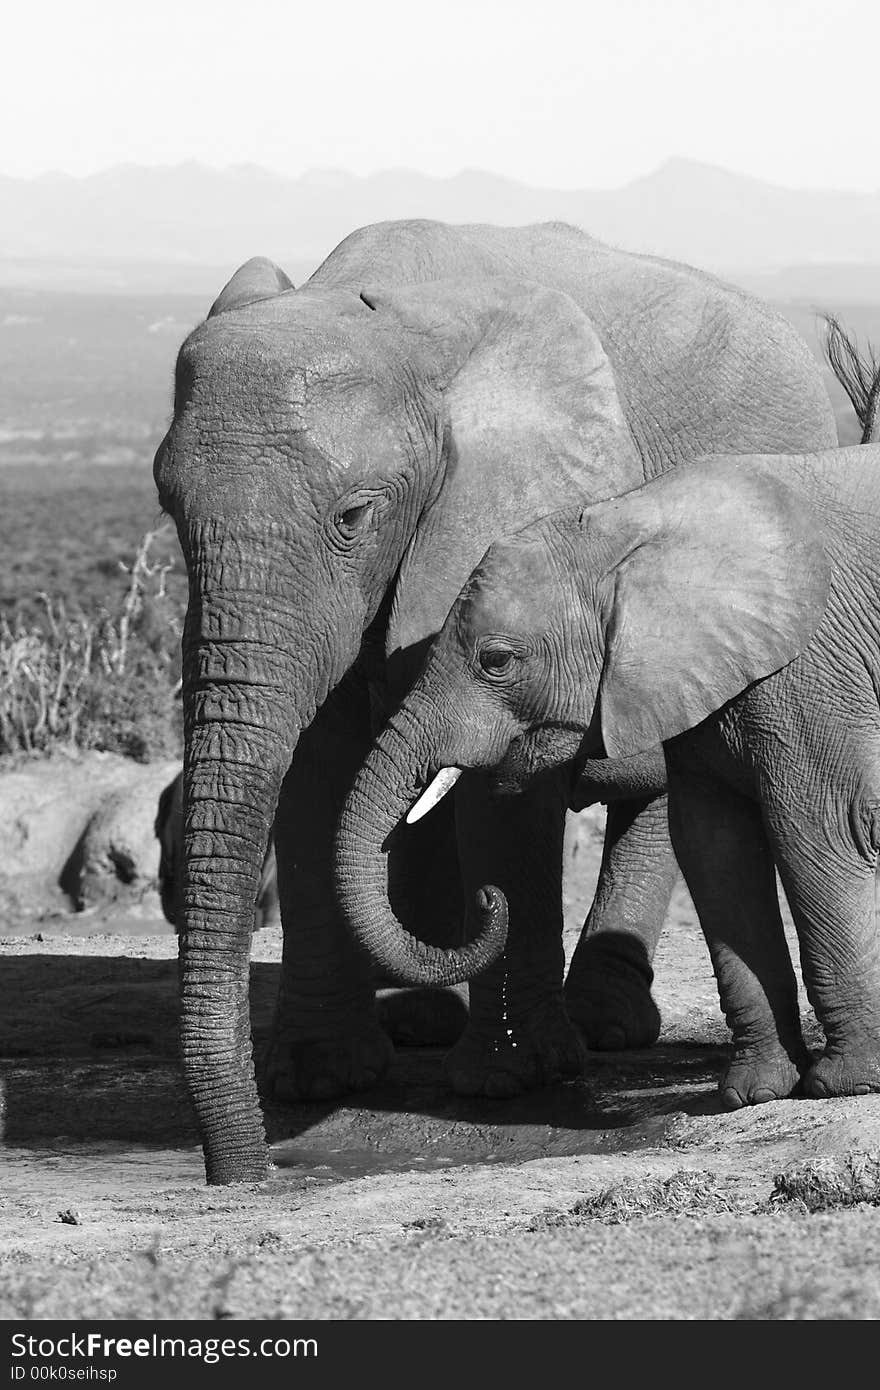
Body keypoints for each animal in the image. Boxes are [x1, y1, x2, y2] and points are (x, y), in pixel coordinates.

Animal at [337, 444, 878, 1106]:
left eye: (496, 661)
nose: (490, 898)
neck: (625, 526)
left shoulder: (810, 669)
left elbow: (817, 831)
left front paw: (846, 1084)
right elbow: (713, 848)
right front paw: (753, 1093)